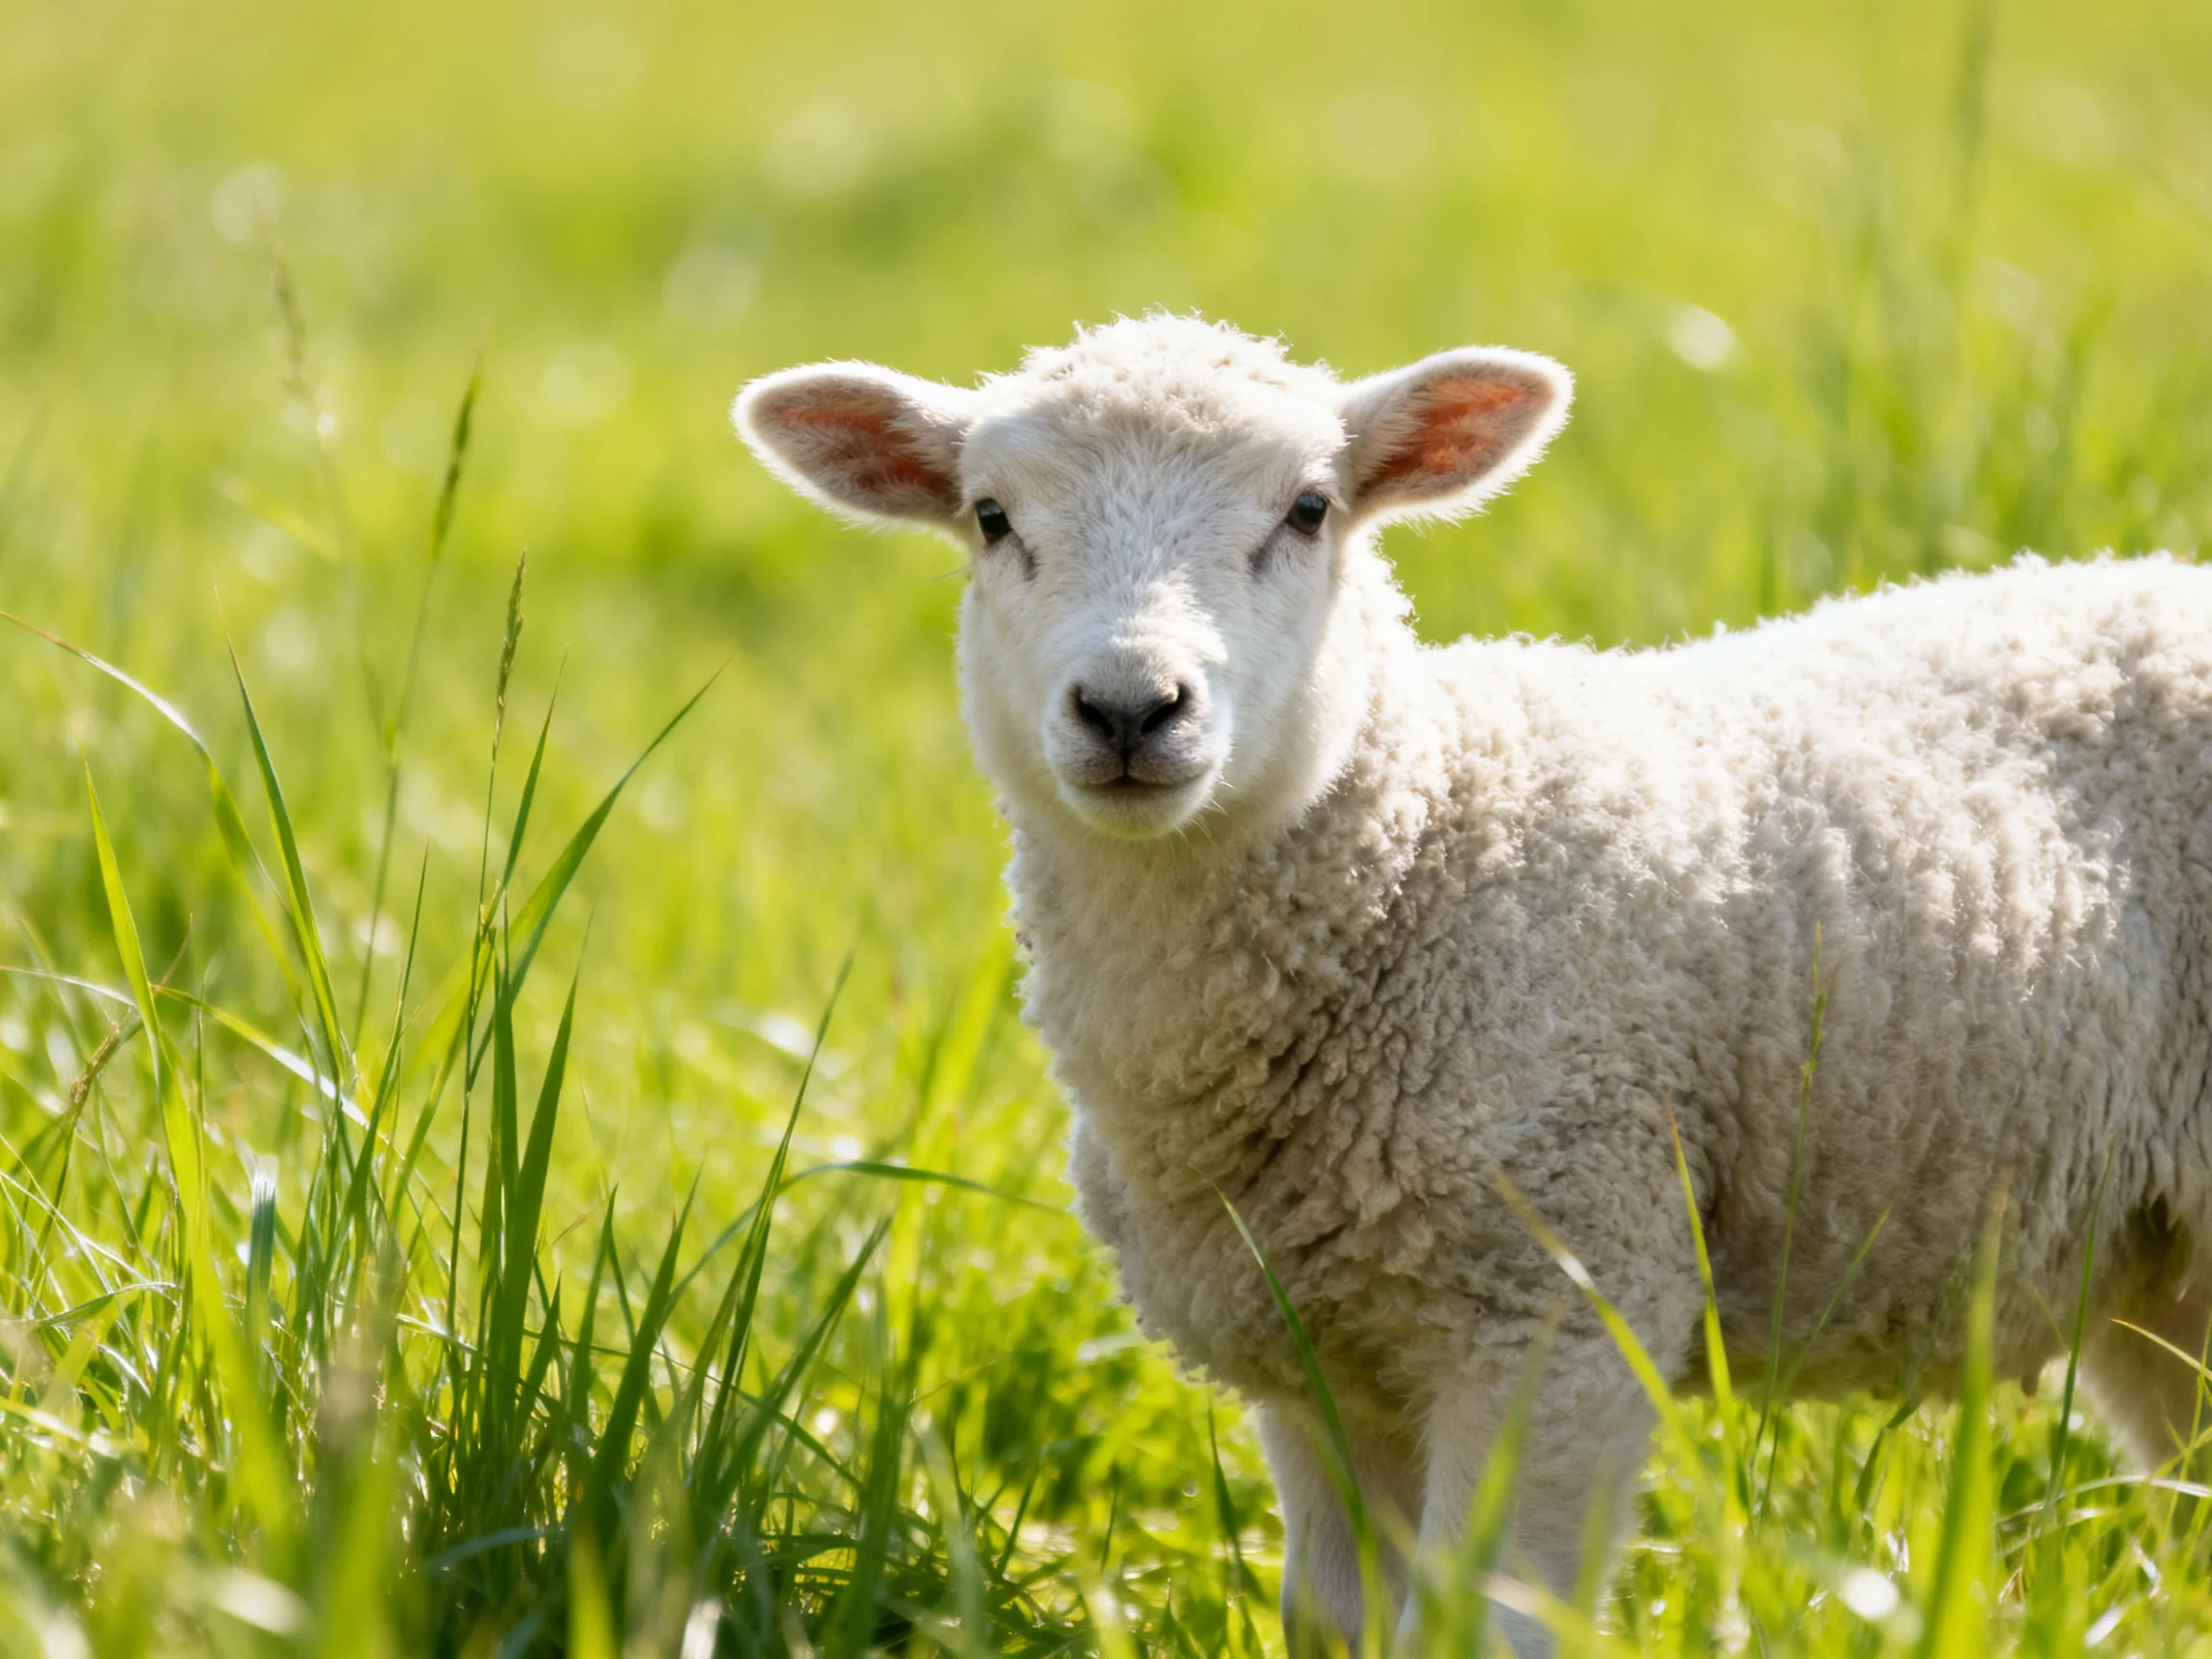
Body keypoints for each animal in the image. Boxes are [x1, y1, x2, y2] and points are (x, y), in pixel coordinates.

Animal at [735, 314, 2212, 1656]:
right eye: (991, 519)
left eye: (1310, 508)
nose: (1130, 709)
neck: (1423, 862)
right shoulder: (1318, 1365)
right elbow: (1337, 1624)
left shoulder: (1562, 1306)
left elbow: (1479, 1628)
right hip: (2158, 1272)